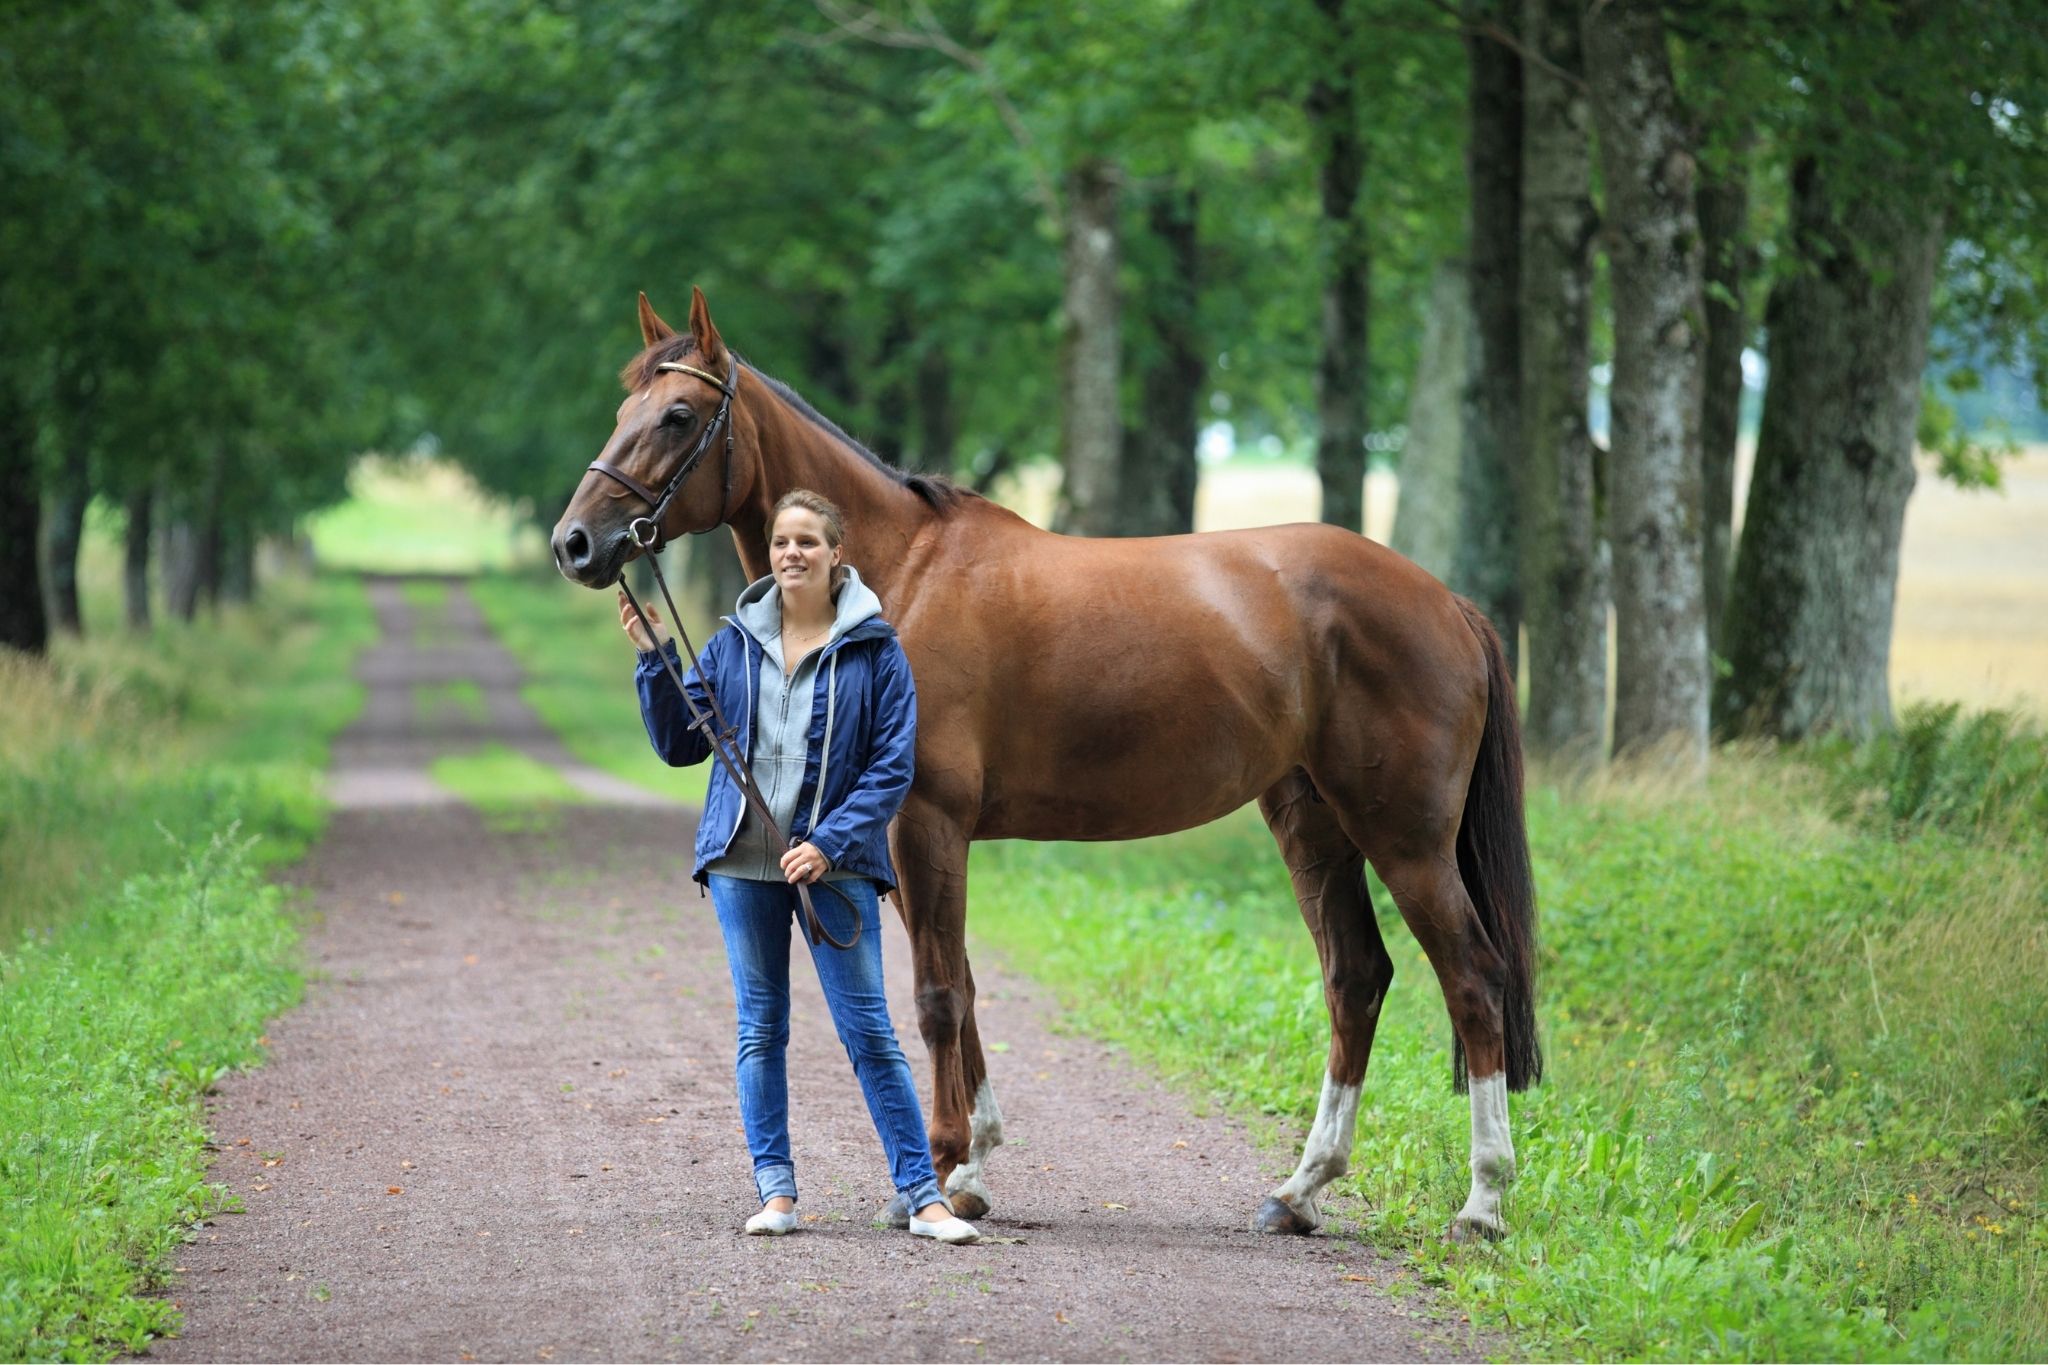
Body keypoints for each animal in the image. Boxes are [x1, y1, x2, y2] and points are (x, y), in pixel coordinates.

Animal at [544, 290, 1540, 1252]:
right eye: (624, 409)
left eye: (677, 415)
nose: (576, 543)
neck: (904, 574)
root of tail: (1445, 600)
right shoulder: (894, 839)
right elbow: (962, 983)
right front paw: (972, 1168)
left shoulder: (925, 823)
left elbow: (937, 994)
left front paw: (943, 1170)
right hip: (1313, 823)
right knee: (1356, 976)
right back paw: (1299, 1191)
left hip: (1405, 836)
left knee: (1472, 977)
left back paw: (1483, 1204)